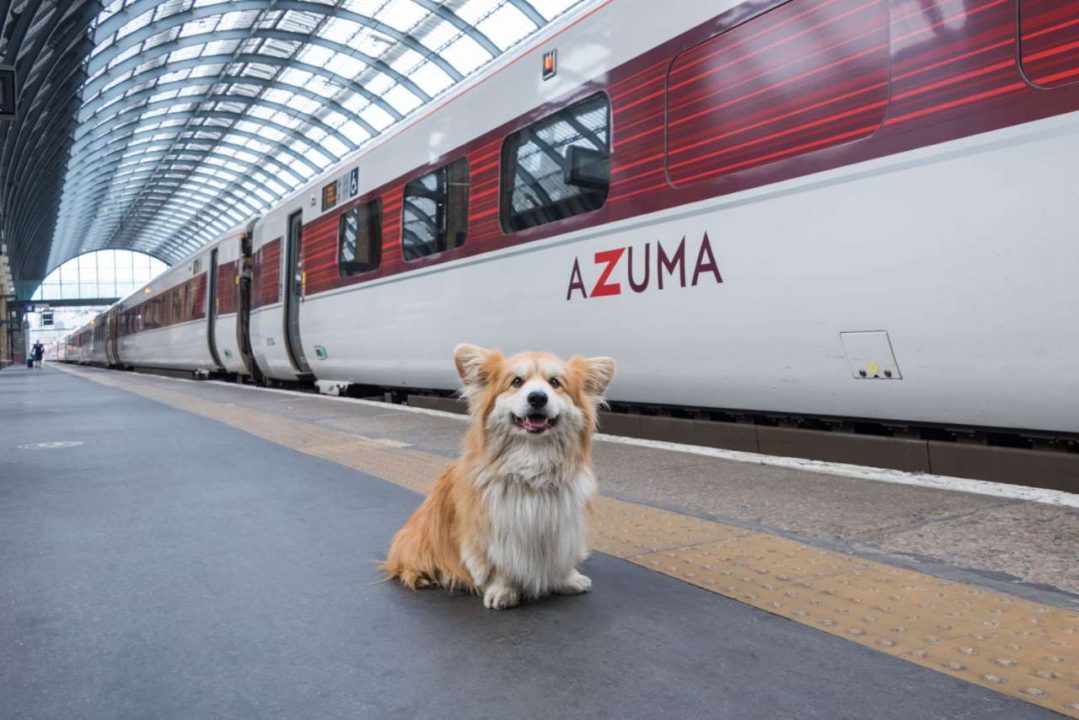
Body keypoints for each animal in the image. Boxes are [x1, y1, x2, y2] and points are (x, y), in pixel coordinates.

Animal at [384, 343, 617, 608]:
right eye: (516, 381)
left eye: (555, 382)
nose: (538, 397)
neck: (532, 464)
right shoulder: (490, 534)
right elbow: (498, 565)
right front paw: (503, 592)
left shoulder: (562, 529)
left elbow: (560, 561)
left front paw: (568, 581)